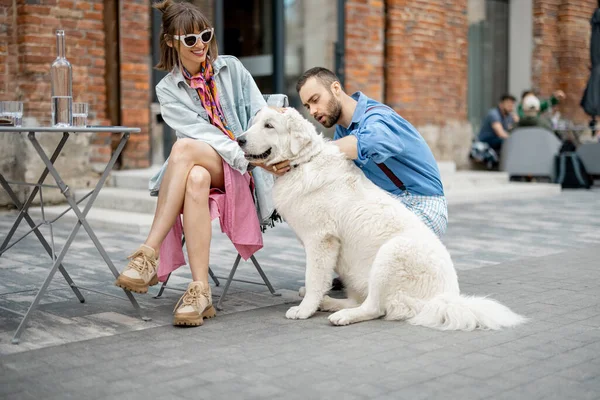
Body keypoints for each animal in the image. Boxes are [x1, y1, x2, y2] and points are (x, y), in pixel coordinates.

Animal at [237, 107, 528, 332]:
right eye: (253, 123)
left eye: (269, 126)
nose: (239, 139)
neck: (303, 163)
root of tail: (445, 298)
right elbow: (316, 281)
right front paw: (313, 300)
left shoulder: (321, 240)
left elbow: (315, 277)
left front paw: (305, 309)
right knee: (360, 300)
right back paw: (330, 303)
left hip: (391, 253)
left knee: (375, 307)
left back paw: (340, 315)